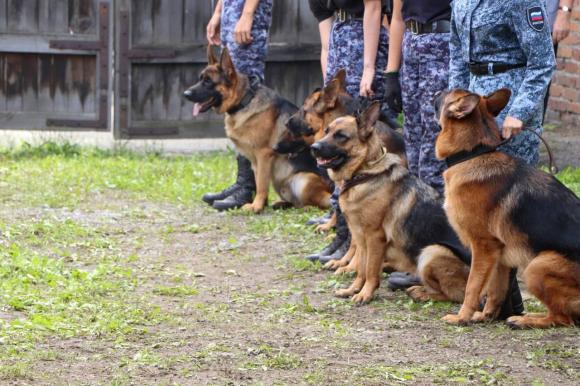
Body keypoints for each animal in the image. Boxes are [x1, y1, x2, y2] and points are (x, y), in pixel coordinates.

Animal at [185, 47, 330, 214]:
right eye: (200, 78)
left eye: (208, 81)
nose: (185, 94)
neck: (244, 101)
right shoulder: (254, 160)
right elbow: (259, 181)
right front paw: (261, 204)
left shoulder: (263, 155)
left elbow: (261, 183)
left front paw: (257, 206)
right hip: (281, 182)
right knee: (295, 201)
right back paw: (282, 203)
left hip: (304, 180)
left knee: (323, 203)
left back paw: (308, 207)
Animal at [310, 102, 468, 304]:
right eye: (327, 131)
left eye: (341, 136)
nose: (313, 147)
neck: (365, 174)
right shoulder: (360, 238)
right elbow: (361, 268)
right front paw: (353, 289)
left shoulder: (374, 237)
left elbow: (370, 270)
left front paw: (365, 294)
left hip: (431, 252)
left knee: (456, 294)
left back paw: (422, 292)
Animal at [438, 89, 576, 328]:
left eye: (447, 93)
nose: (438, 91)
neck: (473, 153)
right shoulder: (498, 254)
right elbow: (495, 289)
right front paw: (485, 316)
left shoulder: (483, 247)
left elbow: (472, 286)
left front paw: (462, 317)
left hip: (537, 266)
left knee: (563, 318)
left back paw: (526, 321)